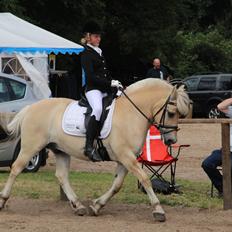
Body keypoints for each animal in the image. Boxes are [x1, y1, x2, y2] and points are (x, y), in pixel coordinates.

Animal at [0, 79, 190, 222]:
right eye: (171, 113)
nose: (172, 141)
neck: (131, 113)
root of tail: (30, 108)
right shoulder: (126, 156)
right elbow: (144, 179)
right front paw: (158, 210)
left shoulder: (125, 159)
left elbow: (117, 185)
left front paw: (96, 206)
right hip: (31, 147)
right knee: (16, 168)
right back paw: (3, 200)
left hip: (60, 150)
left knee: (61, 176)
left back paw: (78, 206)